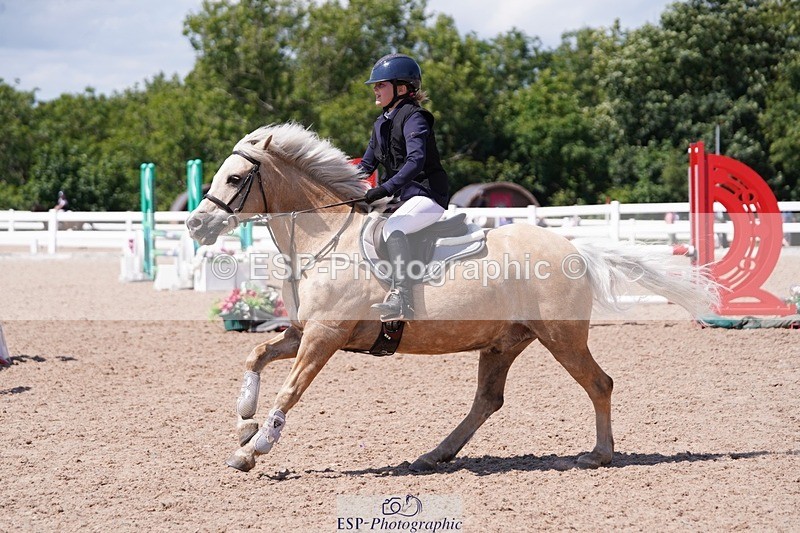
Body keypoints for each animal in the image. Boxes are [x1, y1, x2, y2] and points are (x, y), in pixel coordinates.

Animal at [186, 123, 718, 473]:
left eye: (235, 179)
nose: (195, 225)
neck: (324, 239)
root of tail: (575, 249)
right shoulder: (304, 331)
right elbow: (256, 355)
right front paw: (244, 420)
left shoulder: (325, 335)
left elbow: (290, 390)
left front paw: (253, 449)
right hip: (504, 342)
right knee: (488, 400)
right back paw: (434, 455)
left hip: (561, 338)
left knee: (598, 384)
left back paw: (599, 455)